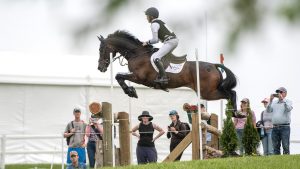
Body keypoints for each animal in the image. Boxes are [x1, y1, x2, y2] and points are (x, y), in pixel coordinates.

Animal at [97, 29, 238, 110]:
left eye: (101, 49)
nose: (100, 68)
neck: (137, 53)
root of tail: (213, 65)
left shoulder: (139, 77)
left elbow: (118, 76)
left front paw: (130, 91)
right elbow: (119, 76)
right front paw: (130, 91)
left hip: (206, 92)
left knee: (230, 93)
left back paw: (235, 113)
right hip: (209, 90)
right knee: (230, 93)